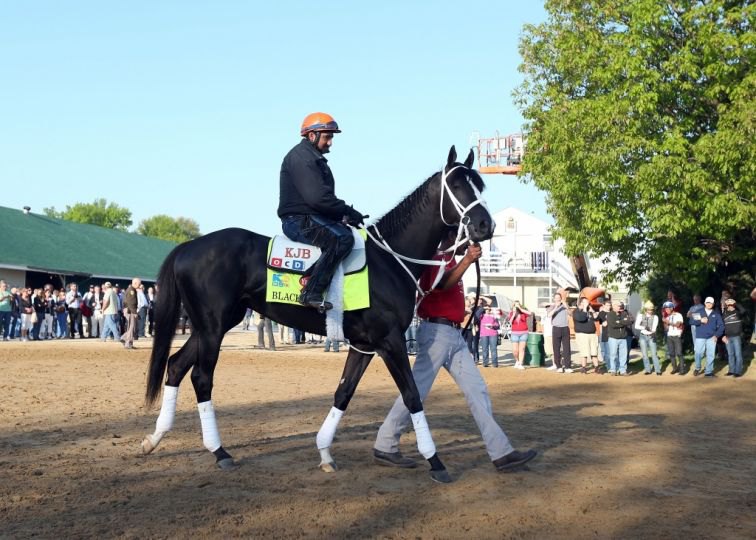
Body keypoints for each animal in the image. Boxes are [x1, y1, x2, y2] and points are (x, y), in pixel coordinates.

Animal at [142, 146, 496, 484]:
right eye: (456, 185)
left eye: (479, 185)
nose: (485, 225)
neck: (388, 260)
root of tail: (187, 246)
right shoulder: (391, 341)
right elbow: (412, 396)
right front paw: (435, 461)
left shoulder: (364, 345)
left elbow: (344, 392)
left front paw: (325, 452)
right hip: (213, 327)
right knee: (201, 378)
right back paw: (219, 452)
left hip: (210, 326)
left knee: (175, 366)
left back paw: (155, 438)